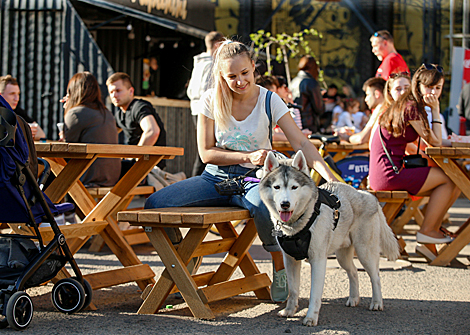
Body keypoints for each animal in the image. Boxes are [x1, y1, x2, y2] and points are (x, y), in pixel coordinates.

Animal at [258, 151, 398, 326]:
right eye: (276, 187)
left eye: (294, 187)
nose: (285, 204)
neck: (299, 223)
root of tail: (366, 194)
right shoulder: (290, 260)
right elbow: (293, 290)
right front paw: (290, 311)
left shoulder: (318, 260)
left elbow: (314, 294)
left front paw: (311, 317)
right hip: (343, 256)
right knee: (353, 272)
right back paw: (354, 299)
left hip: (365, 252)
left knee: (376, 277)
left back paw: (377, 303)